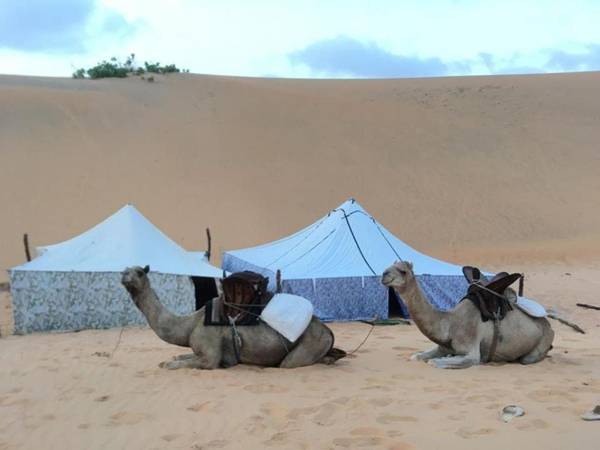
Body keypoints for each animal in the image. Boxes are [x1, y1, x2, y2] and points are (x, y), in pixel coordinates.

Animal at [121, 265, 341, 369]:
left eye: (139, 272)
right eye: (125, 270)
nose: (124, 275)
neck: (190, 323)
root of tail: (328, 331)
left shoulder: (209, 356)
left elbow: (183, 363)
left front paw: (167, 364)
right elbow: (180, 356)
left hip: (309, 344)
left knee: (290, 363)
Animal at [381, 261, 554, 369]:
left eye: (403, 271)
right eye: (390, 264)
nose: (384, 274)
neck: (450, 323)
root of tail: (549, 326)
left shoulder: (471, 351)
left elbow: (435, 362)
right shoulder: (442, 346)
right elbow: (416, 356)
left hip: (539, 346)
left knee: (527, 358)